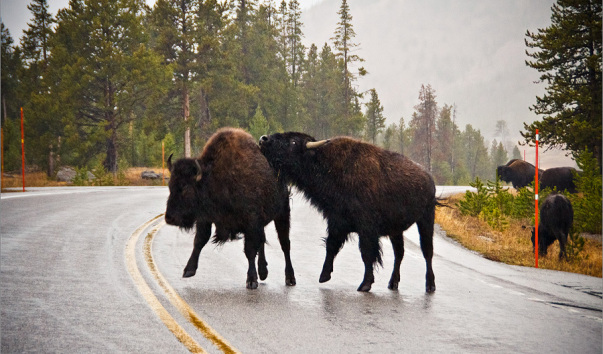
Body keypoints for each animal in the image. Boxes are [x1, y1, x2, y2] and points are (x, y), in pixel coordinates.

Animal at [165, 129, 298, 290]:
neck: (213, 178)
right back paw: (263, 272)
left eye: (186, 188)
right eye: (170, 186)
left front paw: (251, 281)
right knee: (263, 241)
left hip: (282, 214)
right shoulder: (206, 219)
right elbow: (199, 241)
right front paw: (188, 270)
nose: (169, 218)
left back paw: (290, 278)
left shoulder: (251, 221)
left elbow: (250, 250)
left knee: (285, 244)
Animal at [258, 131, 438, 292]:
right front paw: (324, 276)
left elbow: (367, 254)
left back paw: (430, 286)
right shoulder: (337, 222)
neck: (325, 163)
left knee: (427, 252)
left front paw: (365, 285)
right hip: (396, 230)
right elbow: (331, 245)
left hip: (426, 219)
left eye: (294, 142)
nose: (263, 139)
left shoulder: (366, 229)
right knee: (399, 253)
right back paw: (392, 284)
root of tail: (429, 178)